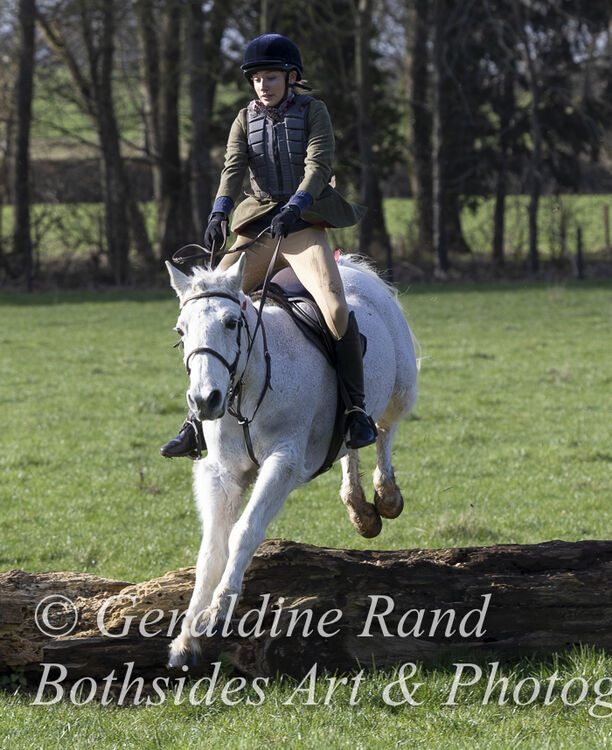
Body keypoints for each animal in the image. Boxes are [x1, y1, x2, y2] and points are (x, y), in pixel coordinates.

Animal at [165, 251, 418, 667]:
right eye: (181, 330)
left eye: (231, 322)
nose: (204, 400)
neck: (248, 387)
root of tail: (352, 268)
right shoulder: (221, 475)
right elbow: (211, 550)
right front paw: (186, 642)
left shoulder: (282, 462)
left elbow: (243, 532)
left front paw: (218, 613)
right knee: (351, 444)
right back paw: (359, 510)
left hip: (401, 389)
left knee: (383, 431)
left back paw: (385, 497)